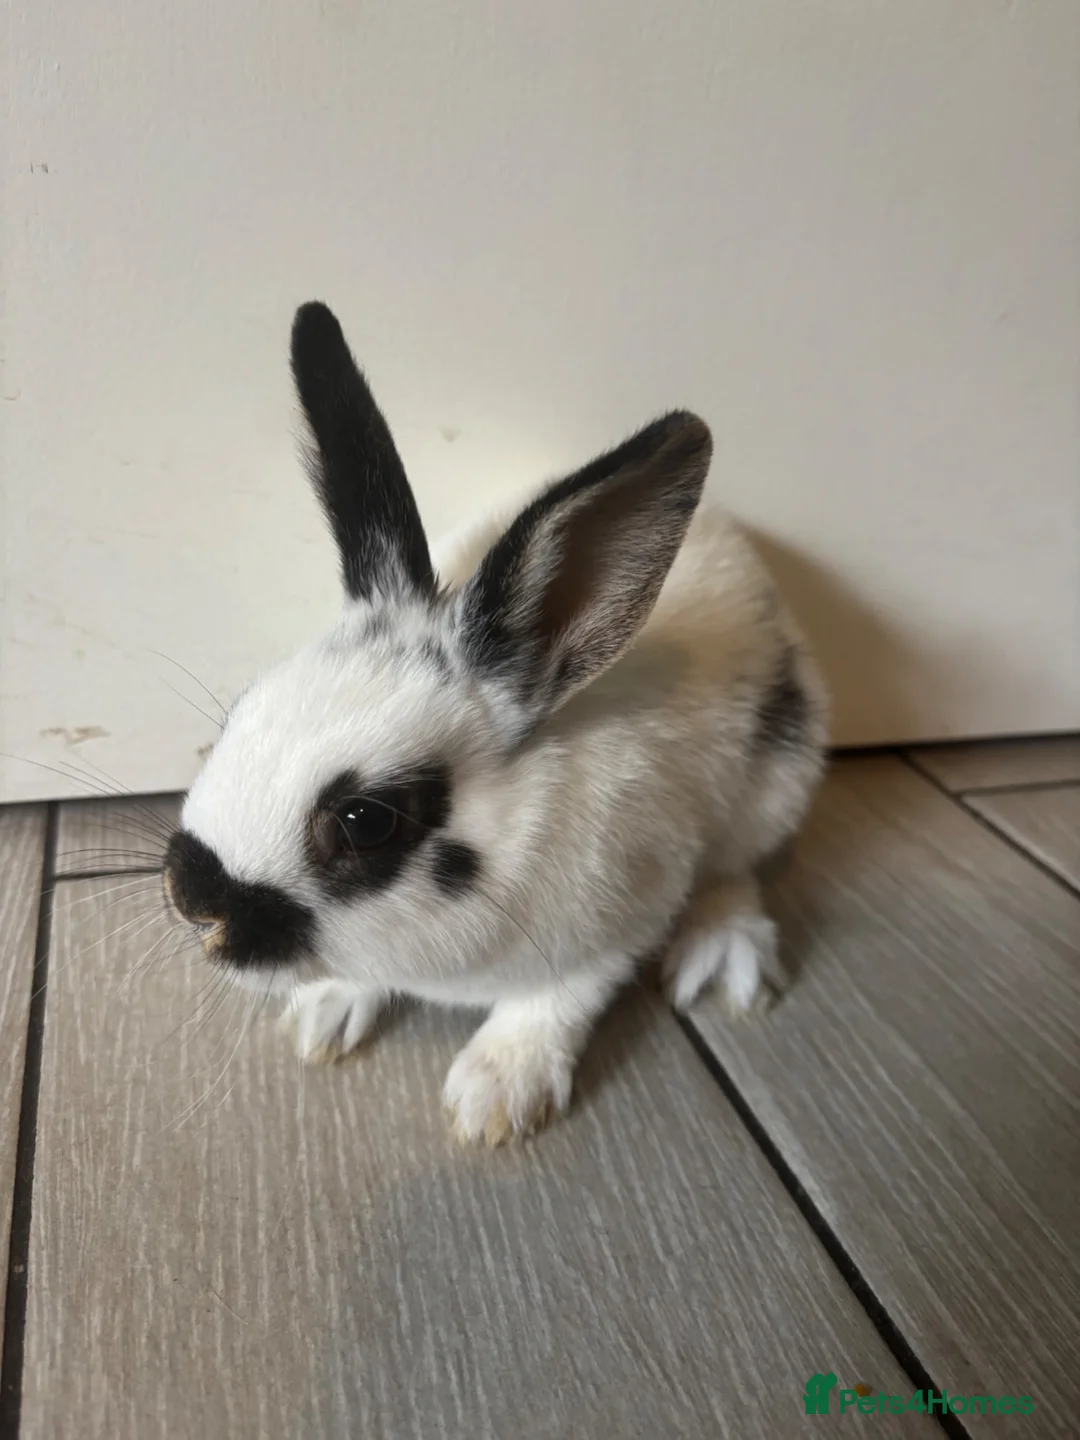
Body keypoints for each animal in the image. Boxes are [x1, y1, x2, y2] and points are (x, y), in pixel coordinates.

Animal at [163, 300, 828, 1147]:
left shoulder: (619, 921)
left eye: (366, 820)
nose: (191, 899)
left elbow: (555, 1003)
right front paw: (323, 1015)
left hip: (775, 782)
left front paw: (495, 1099)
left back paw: (723, 958)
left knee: (735, 872)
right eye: (240, 711)